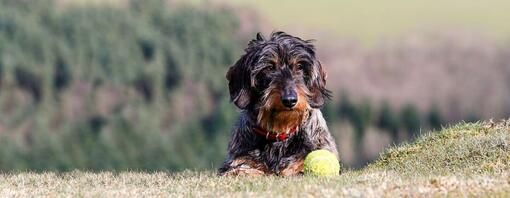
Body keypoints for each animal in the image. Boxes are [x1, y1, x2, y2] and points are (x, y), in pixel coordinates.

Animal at [216, 31, 338, 176]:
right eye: (269, 67)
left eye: (299, 66)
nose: (289, 100)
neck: (280, 133)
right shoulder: (240, 159)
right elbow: (242, 168)